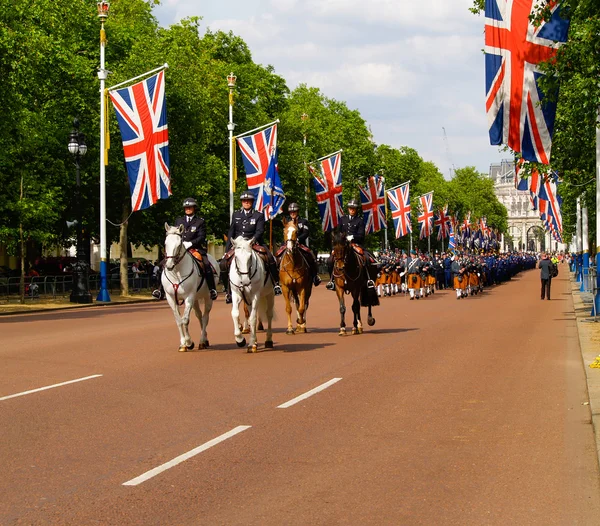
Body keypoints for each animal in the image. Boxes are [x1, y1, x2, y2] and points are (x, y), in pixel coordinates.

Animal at [163, 224, 219, 352]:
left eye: (179, 244)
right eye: (165, 243)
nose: (169, 265)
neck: (177, 271)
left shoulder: (189, 296)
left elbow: (185, 320)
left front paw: (189, 342)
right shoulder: (171, 298)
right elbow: (179, 320)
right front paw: (183, 343)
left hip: (207, 297)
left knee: (205, 317)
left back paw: (202, 341)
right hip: (196, 299)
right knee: (199, 316)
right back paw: (205, 339)